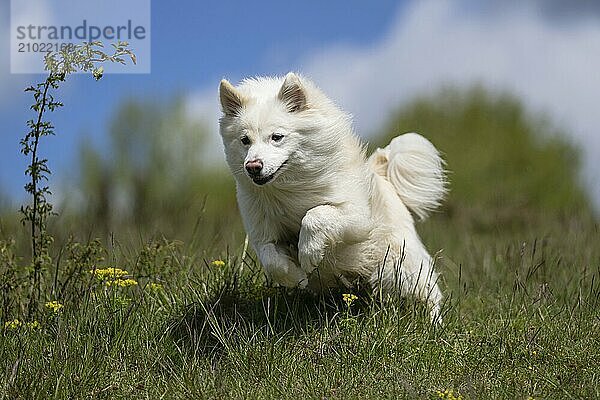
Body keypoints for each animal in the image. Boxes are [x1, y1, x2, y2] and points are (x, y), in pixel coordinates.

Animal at [218, 72, 442, 322]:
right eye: (244, 140)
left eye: (277, 137)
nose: (253, 167)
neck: (288, 190)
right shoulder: (263, 233)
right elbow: (272, 260)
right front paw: (297, 276)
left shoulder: (356, 216)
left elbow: (315, 215)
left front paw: (309, 253)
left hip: (400, 266)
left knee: (430, 294)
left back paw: (435, 325)